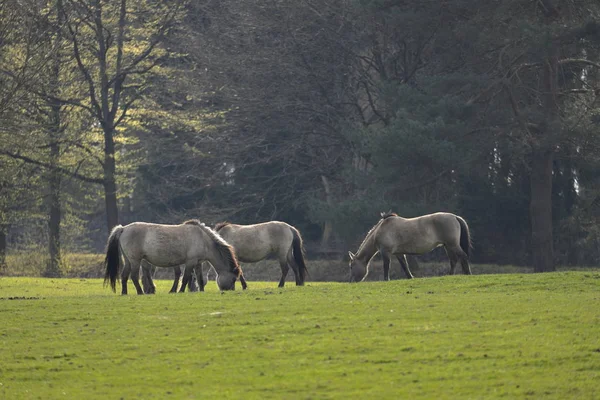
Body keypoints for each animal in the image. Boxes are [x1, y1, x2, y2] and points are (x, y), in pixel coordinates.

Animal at [104, 219, 245, 294]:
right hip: (135, 261)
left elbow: (199, 278)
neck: (203, 239)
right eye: (234, 279)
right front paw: (181, 291)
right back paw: (140, 292)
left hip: (128, 261)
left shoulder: (198, 262)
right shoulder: (190, 262)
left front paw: (201, 291)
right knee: (133, 276)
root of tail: (123, 228)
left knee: (124, 276)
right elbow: (186, 277)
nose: (229, 291)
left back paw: (124, 293)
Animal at [346, 212, 474, 282]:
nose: (351, 281)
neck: (380, 230)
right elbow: (405, 266)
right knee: (454, 260)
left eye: (351, 266)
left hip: (452, 245)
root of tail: (455, 217)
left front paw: (386, 279)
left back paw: (468, 274)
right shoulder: (399, 253)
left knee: (463, 256)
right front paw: (410, 277)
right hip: (448, 246)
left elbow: (386, 266)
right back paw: (450, 275)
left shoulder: (385, 252)